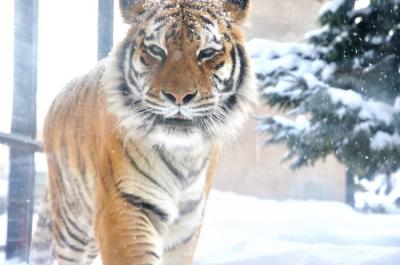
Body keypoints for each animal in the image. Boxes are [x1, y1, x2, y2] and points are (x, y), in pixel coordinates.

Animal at [30, 0, 256, 262]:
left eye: (207, 53)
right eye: (156, 50)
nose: (179, 96)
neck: (183, 155)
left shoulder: (186, 226)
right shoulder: (122, 206)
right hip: (72, 220)